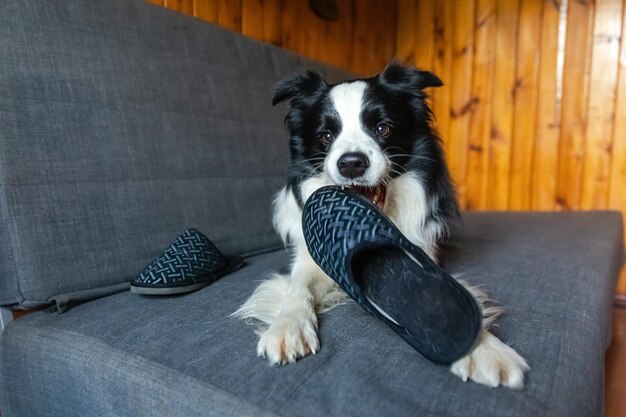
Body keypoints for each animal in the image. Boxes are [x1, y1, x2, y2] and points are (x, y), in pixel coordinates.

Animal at [234, 63, 528, 388]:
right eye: (326, 136)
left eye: (382, 128)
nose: (351, 163)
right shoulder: (308, 257)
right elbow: (298, 288)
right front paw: (288, 328)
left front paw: (483, 347)